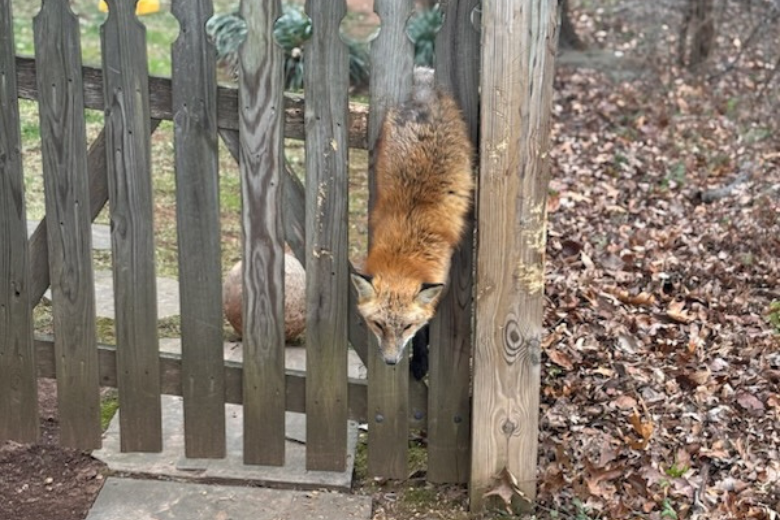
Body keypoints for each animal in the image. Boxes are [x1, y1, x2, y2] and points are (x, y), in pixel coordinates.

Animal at [351, 67, 474, 369]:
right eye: (379, 325)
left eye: (406, 326)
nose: (391, 362)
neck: (404, 248)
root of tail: (424, 89)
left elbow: (426, 325)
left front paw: (420, 359)